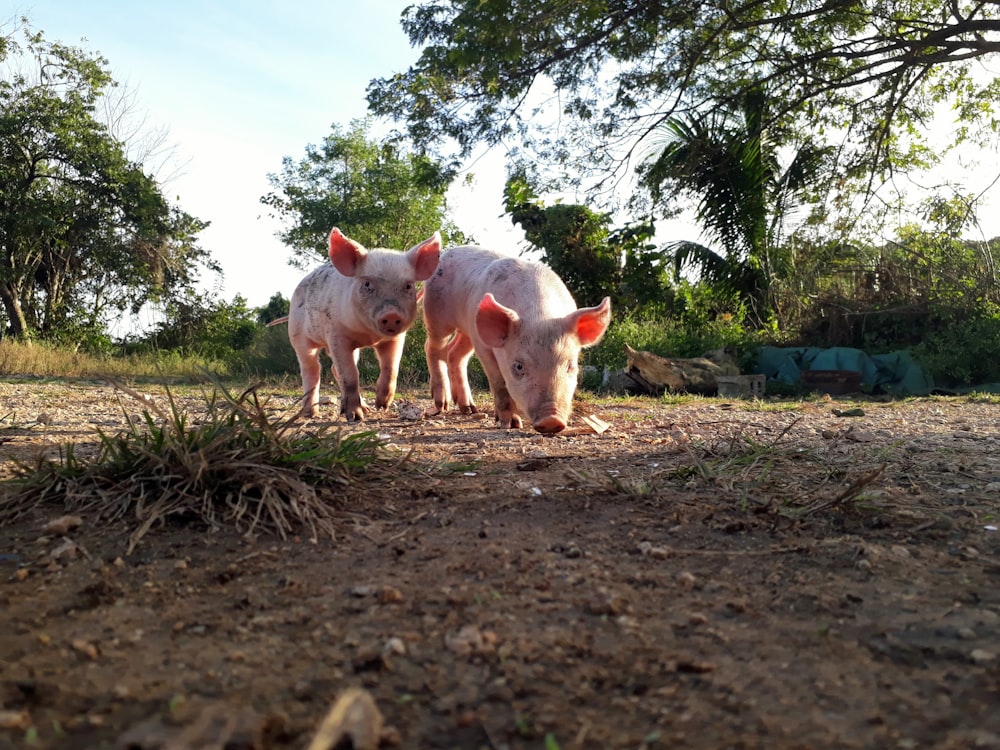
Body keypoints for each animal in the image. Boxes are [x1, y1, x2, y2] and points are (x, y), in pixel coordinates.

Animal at [292, 226, 444, 420]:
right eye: (367, 284)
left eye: (408, 286)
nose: (391, 313)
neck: (369, 336)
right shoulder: (336, 335)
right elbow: (350, 375)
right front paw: (355, 417)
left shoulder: (396, 338)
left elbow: (391, 369)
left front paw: (381, 406)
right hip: (298, 336)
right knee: (311, 369)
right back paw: (311, 413)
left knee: (334, 368)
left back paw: (367, 409)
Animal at [420, 247, 608, 434]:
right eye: (519, 366)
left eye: (571, 366)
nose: (551, 420)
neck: (539, 316)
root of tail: (446, 253)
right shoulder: (484, 347)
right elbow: (500, 384)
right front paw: (511, 424)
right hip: (437, 315)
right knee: (433, 347)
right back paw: (442, 405)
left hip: (471, 328)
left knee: (454, 353)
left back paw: (469, 409)